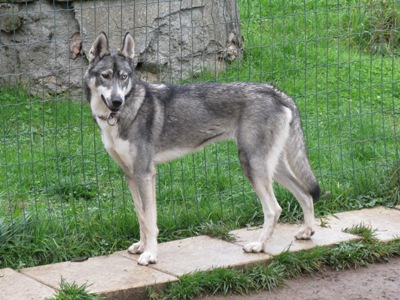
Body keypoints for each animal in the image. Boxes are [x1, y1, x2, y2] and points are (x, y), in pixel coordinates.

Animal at [83, 32, 320, 264]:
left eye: (123, 77)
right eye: (105, 76)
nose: (117, 101)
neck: (123, 114)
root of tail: (278, 93)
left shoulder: (145, 174)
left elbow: (150, 220)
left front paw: (150, 255)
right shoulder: (131, 175)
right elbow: (141, 216)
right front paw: (141, 247)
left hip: (252, 166)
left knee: (274, 209)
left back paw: (259, 246)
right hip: (272, 168)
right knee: (305, 194)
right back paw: (307, 232)